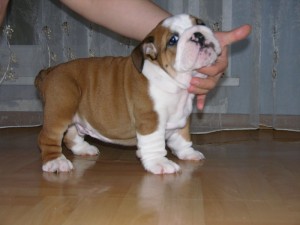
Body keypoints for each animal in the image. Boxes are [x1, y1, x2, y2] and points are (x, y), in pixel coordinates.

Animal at [35, 14, 220, 175]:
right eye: (173, 40)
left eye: (201, 23)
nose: (198, 34)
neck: (172, 80)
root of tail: (50, 71)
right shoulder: (150, 120)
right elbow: (154, 144)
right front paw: (159, 163)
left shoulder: (181, 118)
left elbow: (182, 138)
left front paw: (188, 153)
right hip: (61, 108)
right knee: (48, 137)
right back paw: (56, 161)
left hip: (75, 115)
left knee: (70, 135)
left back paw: (84, 149)